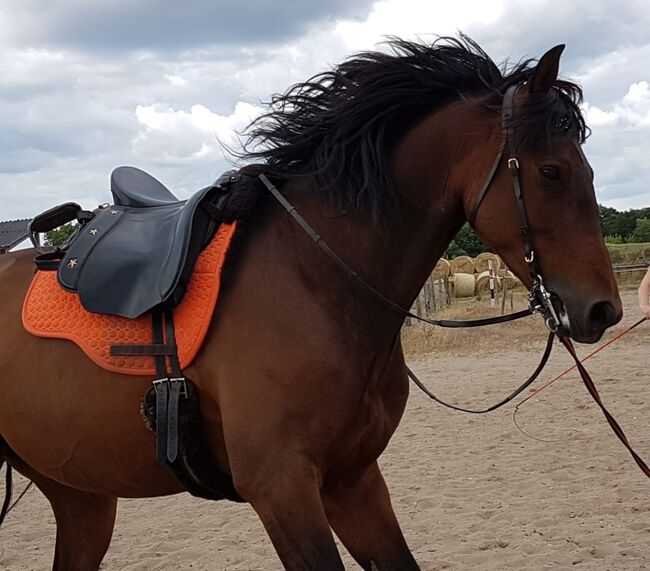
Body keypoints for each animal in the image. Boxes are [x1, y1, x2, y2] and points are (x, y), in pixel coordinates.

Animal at [0, 36, 616, 571]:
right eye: (551, 171)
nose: (603, 310)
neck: (314, 281)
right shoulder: (282, 489)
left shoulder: (353, 480)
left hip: (80, 496)